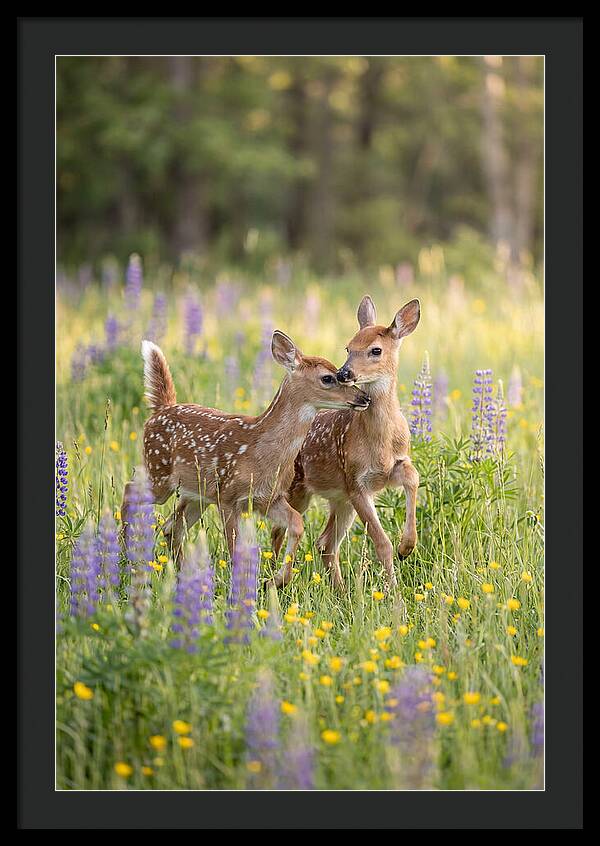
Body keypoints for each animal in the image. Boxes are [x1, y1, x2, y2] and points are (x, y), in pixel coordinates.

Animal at [121, 333, 370, 578]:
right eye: (328, 378)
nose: (364, 398)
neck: (261, 452)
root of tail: (161, 409)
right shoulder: (228, 497)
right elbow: (235, 548)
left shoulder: (269, 498)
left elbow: (297, 523)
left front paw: (278, 580)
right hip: (159, 472)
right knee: (130, 489)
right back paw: (125, 553)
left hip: (197, 494)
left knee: (171, 527)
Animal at [271, 297, 421, 591]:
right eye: (348, 347)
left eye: (376, 350)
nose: (344, 373)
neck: (380, 443)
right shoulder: (355, 482)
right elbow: (381, 543)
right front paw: (394, 592)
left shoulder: (390, 468)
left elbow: (413, 477)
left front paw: (407, 547)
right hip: (298, 490)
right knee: (279, 532)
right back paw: (271, 578)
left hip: (339, 499)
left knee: (325, 543)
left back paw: (340, 591)